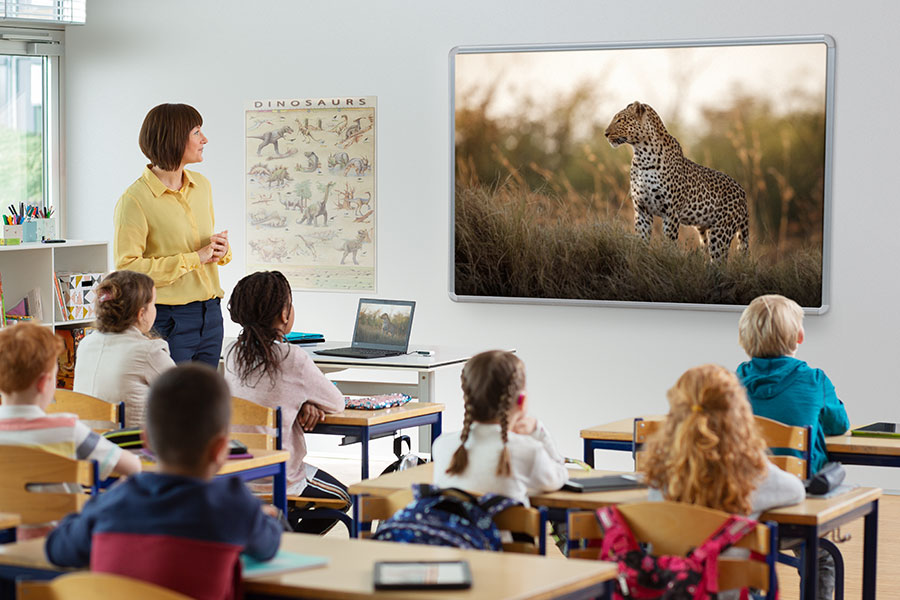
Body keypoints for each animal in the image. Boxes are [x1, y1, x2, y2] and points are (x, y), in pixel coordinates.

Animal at [604, 100, 752, 260]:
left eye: (620, 120)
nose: (605, 133)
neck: (642, 155)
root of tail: (743, 192)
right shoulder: (642, 210)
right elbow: (641, 240)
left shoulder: (671, 212)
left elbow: (669, 243)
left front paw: (665, 259)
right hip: (705, 231)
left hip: (721, 232)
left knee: (720, 260)